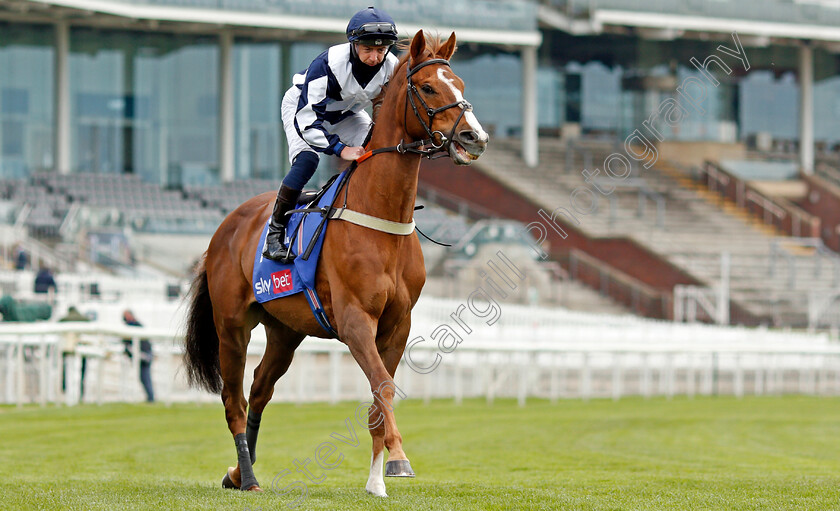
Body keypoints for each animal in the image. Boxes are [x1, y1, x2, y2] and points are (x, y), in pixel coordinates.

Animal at [180, 30, 488, 498]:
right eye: (429, 87)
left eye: (462, 86)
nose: (474, 137)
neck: (380, 217)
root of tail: (224, 230)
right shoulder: (355, 319)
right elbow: (382, 385)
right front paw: (395, 462)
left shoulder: (397, 324)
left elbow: (381, 392)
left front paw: (380, 476)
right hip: (231, 326)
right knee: (234, 399)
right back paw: (248, 477)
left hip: (285, 330)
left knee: (260, 389)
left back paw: (236, 472)